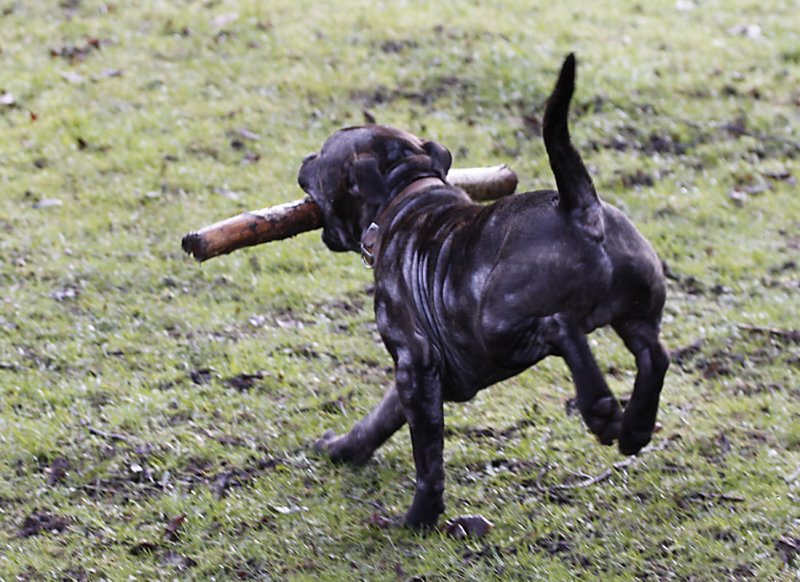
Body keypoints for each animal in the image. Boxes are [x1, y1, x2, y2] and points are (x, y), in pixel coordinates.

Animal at [298, 54, 668, 528]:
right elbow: (380, 419)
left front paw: (417, 520)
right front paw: (342, 449)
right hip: (637, 312)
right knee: (653, 355)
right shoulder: (416, 374)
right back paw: (635, 428)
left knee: (561, 329)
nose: (304, 159)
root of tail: (579, 208)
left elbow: (428, 458)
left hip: (498, 324)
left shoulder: (414, 363)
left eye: (323, 155)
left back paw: (601, 410)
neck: (404, 194)